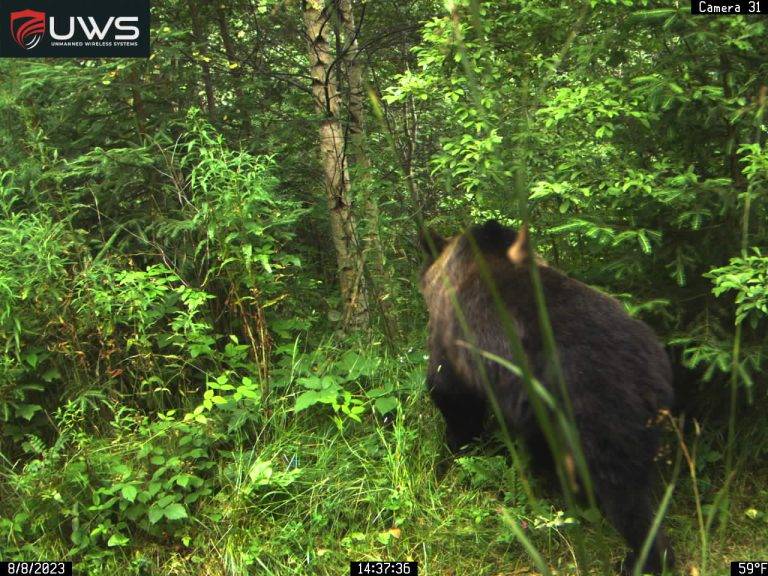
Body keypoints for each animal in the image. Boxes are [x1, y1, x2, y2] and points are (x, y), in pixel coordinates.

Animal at [416, 220, 676, 576]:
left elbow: (451, 394)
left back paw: (639, 558)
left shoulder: (452, 338)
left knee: (625, 495)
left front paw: (454, 451)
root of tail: (651, 366)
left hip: (599, 411)